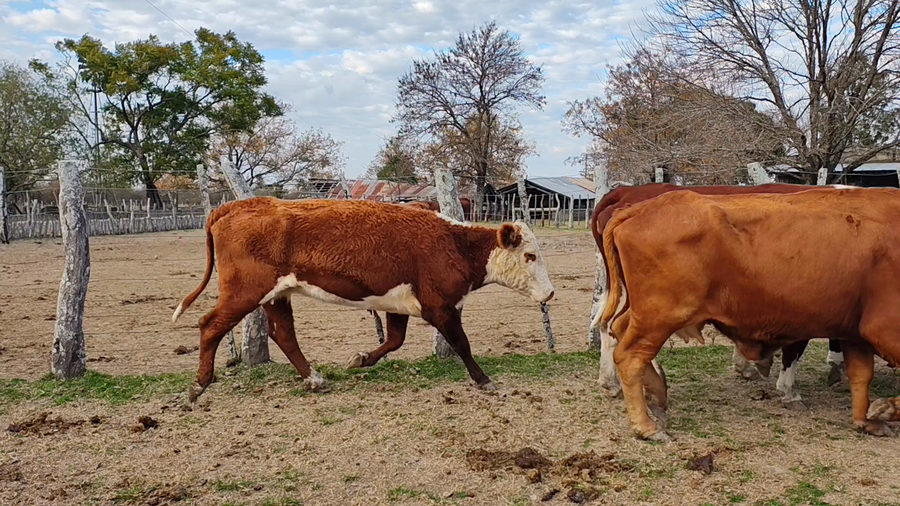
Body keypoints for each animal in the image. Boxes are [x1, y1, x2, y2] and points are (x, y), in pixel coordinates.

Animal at [171, 197, 555, 402]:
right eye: (530, 256)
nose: (550, 292)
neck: (453, 243)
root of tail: (236, 205)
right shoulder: (441, 308)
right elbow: (462, 345)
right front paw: (484, 380)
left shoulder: (399, 304)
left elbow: (394, 341)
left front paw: (361, 359)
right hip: (244, 293)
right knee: (210, 326)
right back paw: (199, 384)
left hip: (276, 295)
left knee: (283, 334)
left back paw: (314, 379)